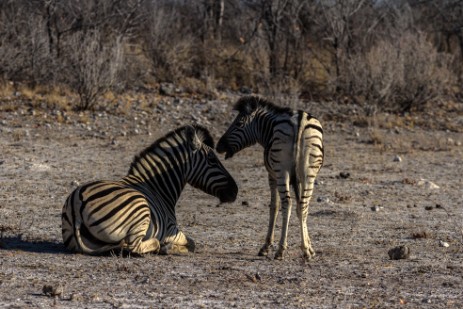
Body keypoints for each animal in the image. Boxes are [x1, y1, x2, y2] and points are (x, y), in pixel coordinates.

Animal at [62, 124, 239, 254]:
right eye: (212, 160)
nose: (235, 191)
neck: (158, 188)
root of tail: (77, 204)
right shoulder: (171, 229)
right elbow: (192, 243)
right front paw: (171, 247)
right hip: (141, 209)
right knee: (132, 246)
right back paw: (158, 245)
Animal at [217, 96, 322, 260]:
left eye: (238, 124)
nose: (218, 146)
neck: (268, 129)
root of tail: (300, 121)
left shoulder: (271, 175)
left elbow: (274, 206)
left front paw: (266, 247)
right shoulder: (297, 179)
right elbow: (300, 209)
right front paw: (309, 247)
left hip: (281, 171)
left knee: (287, 203)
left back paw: (280, 250)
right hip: (309, 172)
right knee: (304, 204)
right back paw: (305, 251)